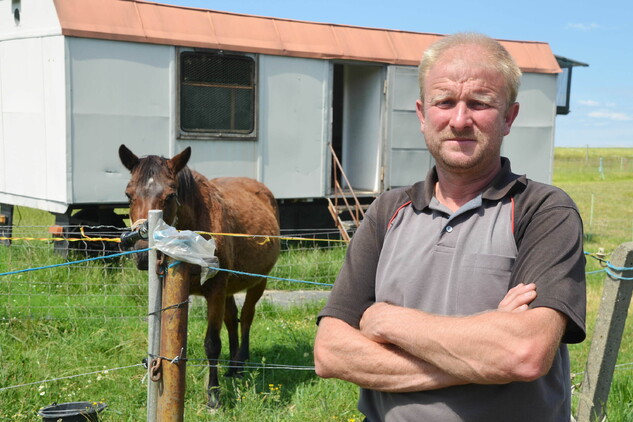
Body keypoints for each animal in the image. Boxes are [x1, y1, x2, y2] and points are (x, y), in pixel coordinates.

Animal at [118, 143, 278, 408]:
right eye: (129, 195)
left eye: (170, 195)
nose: (141, 254)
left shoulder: (216, 290)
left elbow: (212, 344)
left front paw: (213, 395)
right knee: (232, 319)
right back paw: (232, 366)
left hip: (258, 282)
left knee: (246, 317)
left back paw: (241, 362)